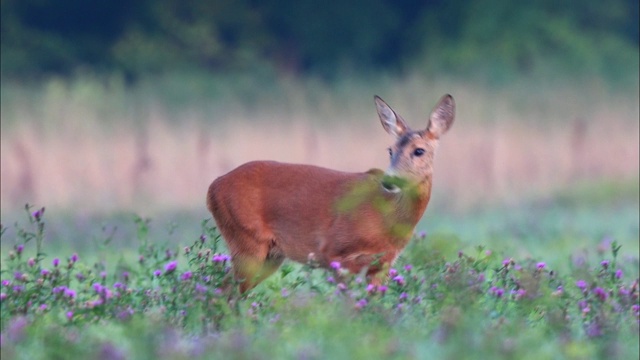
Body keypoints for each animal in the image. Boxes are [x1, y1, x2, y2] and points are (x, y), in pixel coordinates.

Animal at [206, 95, 456, 292]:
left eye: (419, 150)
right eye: (390, 150)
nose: (389, 181)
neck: (388, 218)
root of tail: (213, 187)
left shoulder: (381, 265)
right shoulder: (335, 252)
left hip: (270, 255)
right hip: (247, 239)